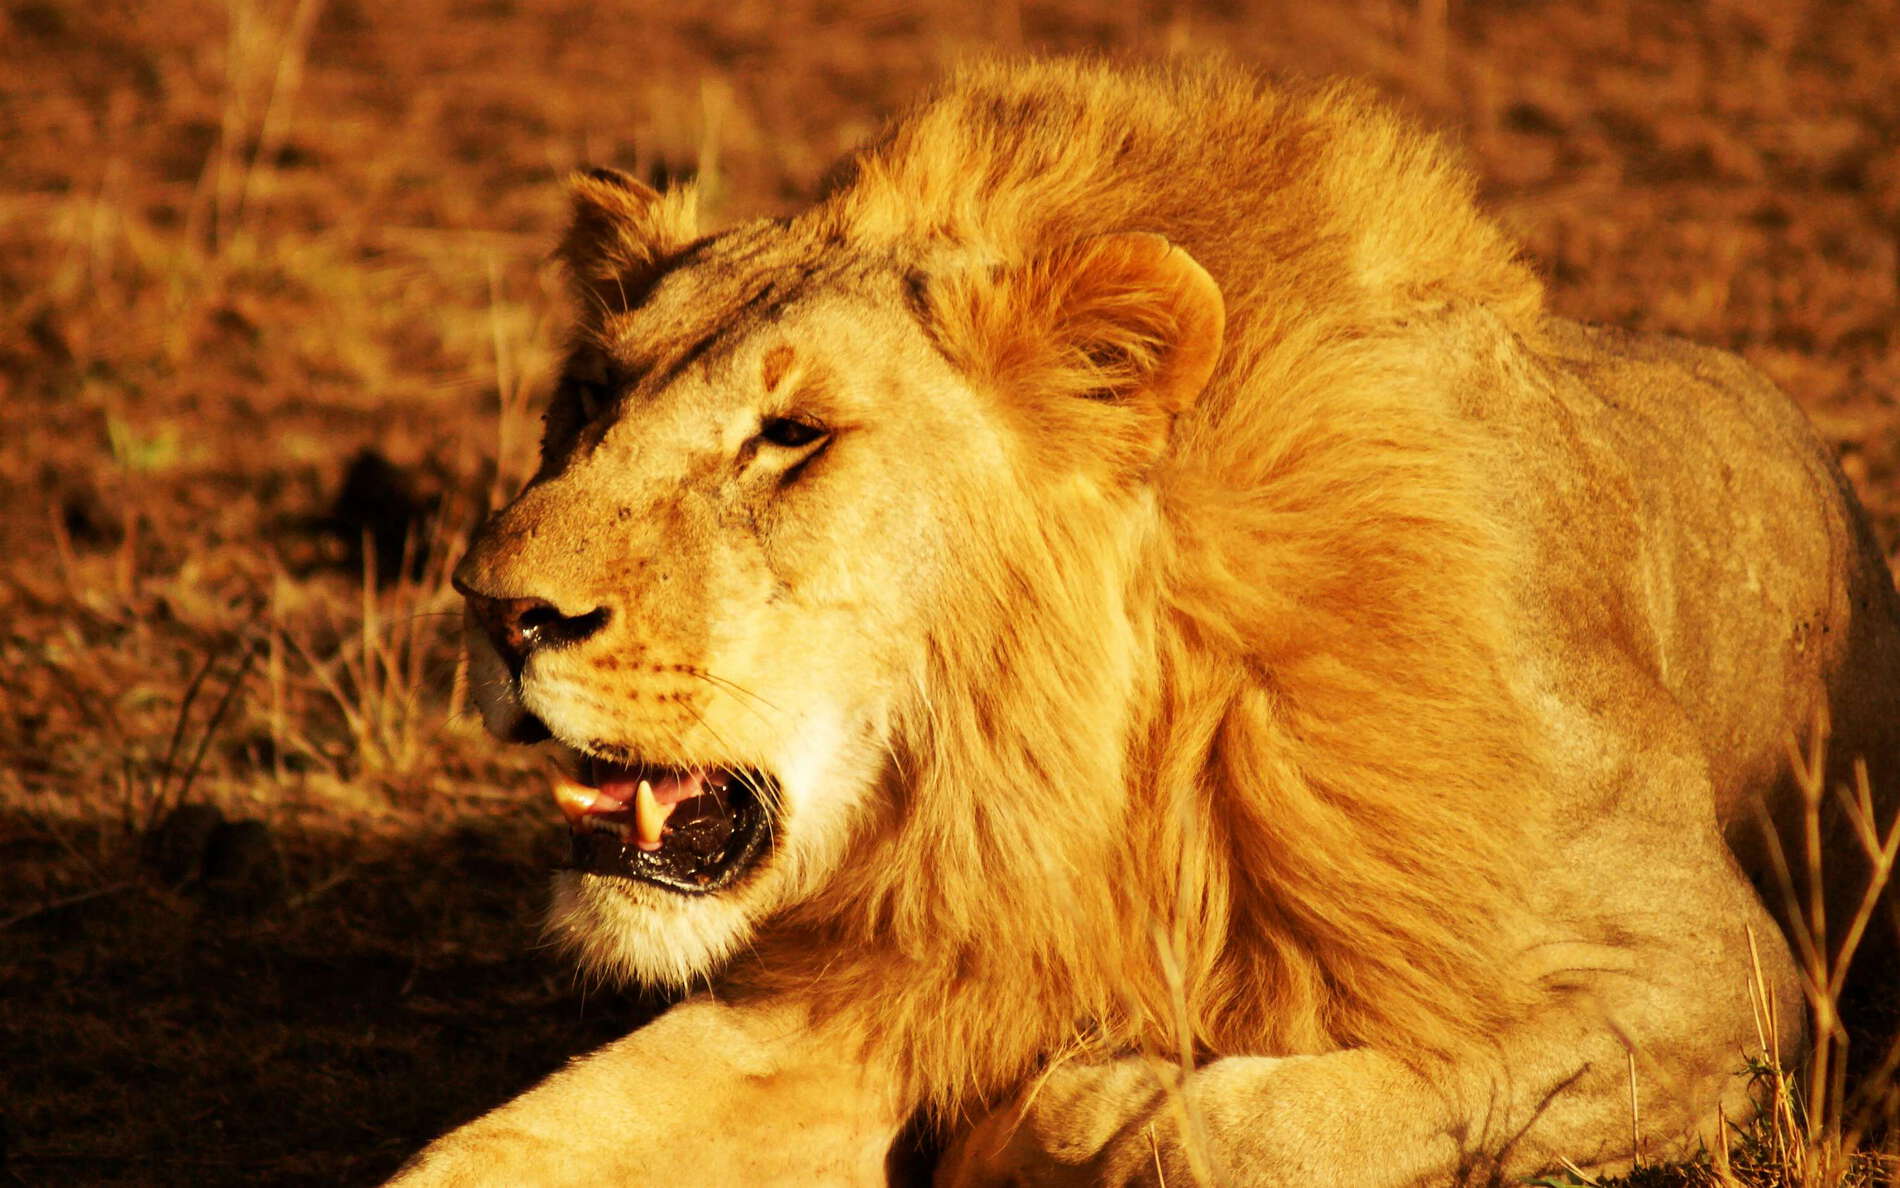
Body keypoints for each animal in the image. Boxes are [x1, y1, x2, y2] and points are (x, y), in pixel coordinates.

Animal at [389, 57, 1900, 1186]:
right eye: (589, 399)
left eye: (791, 436)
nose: (495, 611)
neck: (1076, 787)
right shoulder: (883, 982)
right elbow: (512, 1147)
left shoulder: (1716, 977)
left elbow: (1307, 1113)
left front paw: (1068, 1116)